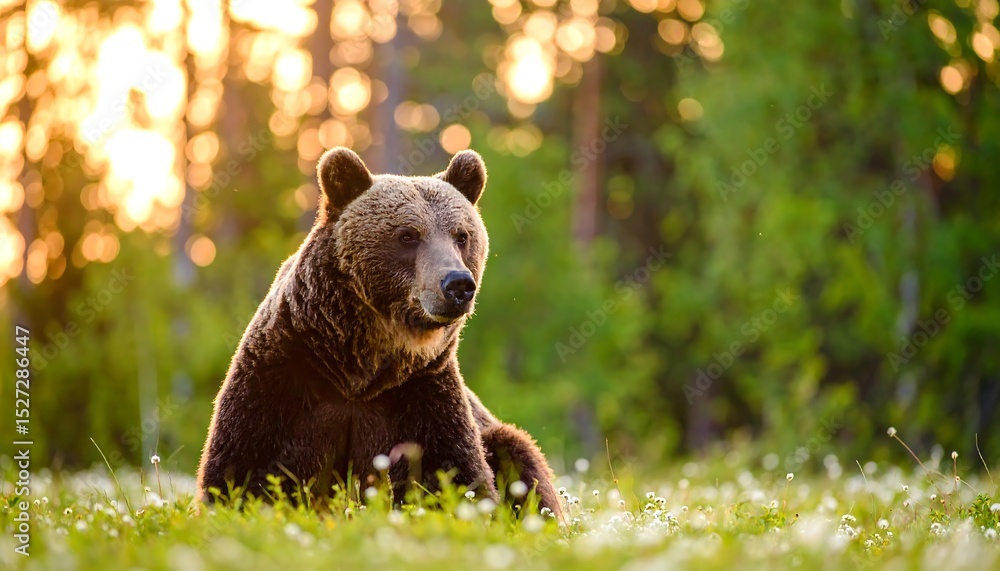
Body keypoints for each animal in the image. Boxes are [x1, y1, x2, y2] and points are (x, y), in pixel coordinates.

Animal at [196, 147, 562, 518]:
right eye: (408, 235)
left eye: (462, 236)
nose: (458, 284)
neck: (358, 368)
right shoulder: (282, 376)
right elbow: (242, 470)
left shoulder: (419, 394)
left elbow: (456, 477)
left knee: (519, 454)